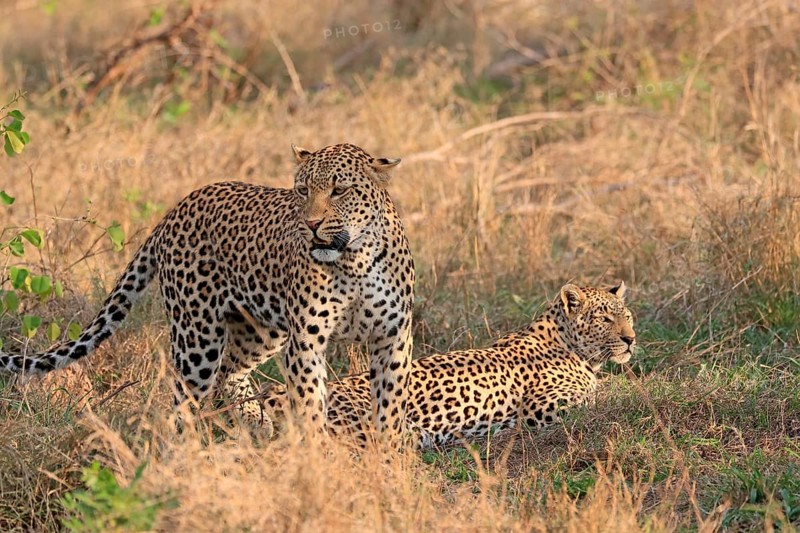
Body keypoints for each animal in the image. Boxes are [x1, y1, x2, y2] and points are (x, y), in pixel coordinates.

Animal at [0, 143, 415, 442]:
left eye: (339, 190)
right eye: (301, 191)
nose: (311, 224)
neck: (355, 261)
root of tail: (176, 208)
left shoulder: (393, 337)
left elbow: (390, 406)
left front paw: (389, 458)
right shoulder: (306, 342)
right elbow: (311, 403)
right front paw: (318, 456)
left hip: (261, 330)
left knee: (229, 372)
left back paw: (255, 421)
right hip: (197, 338)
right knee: (184, 403)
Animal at [260, 282, 635, 449]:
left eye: (627, 316)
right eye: (604, 318)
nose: (631, 339)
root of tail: (269, 396)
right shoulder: (540, 409)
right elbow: (596, 398)